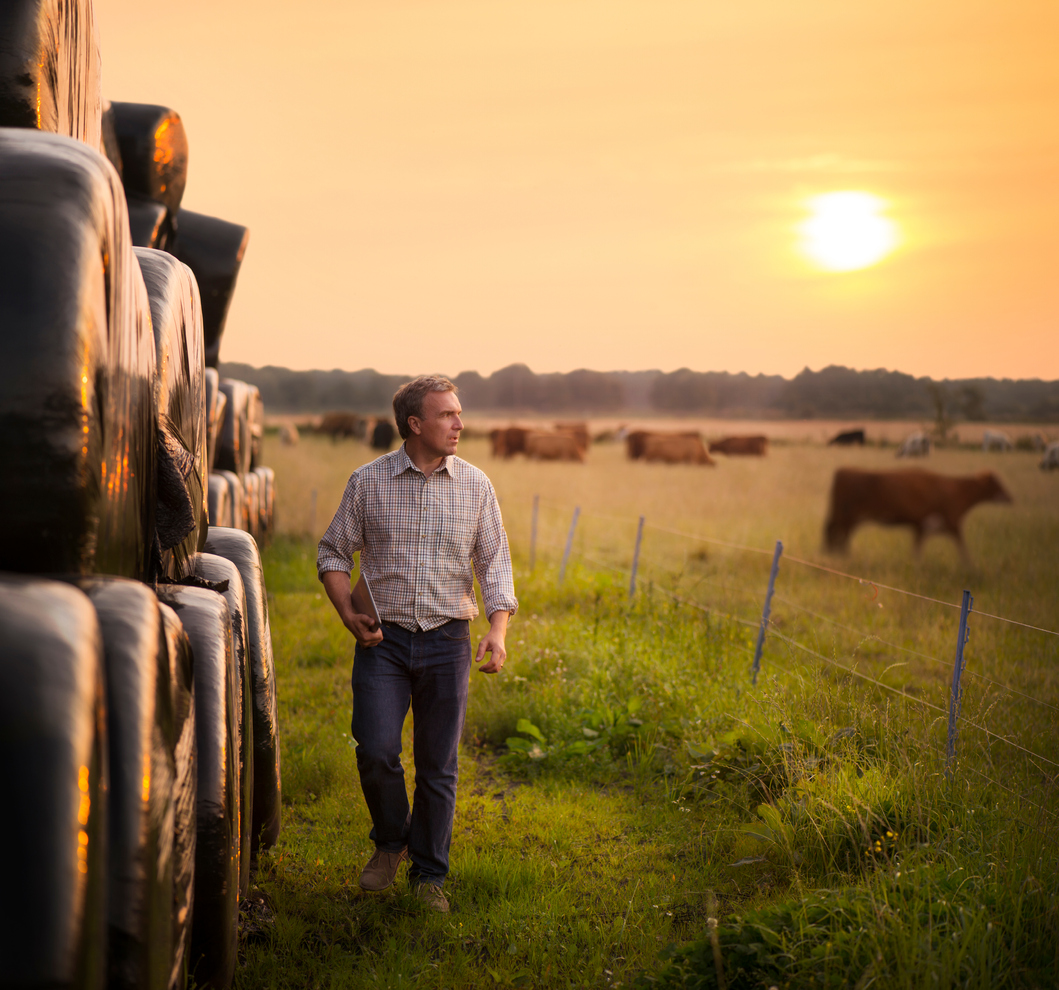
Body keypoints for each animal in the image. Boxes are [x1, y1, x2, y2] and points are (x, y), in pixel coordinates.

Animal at [821, 465, 1012, 559]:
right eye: (996, 482)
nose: (1011, 497)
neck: (956, 491)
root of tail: (844, 469)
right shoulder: (949, 524)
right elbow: (962, 547)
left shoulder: (923, 526)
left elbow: (918, 549)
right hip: (847, 517)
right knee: (836, 534)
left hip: (848, 518)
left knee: (837, 535)